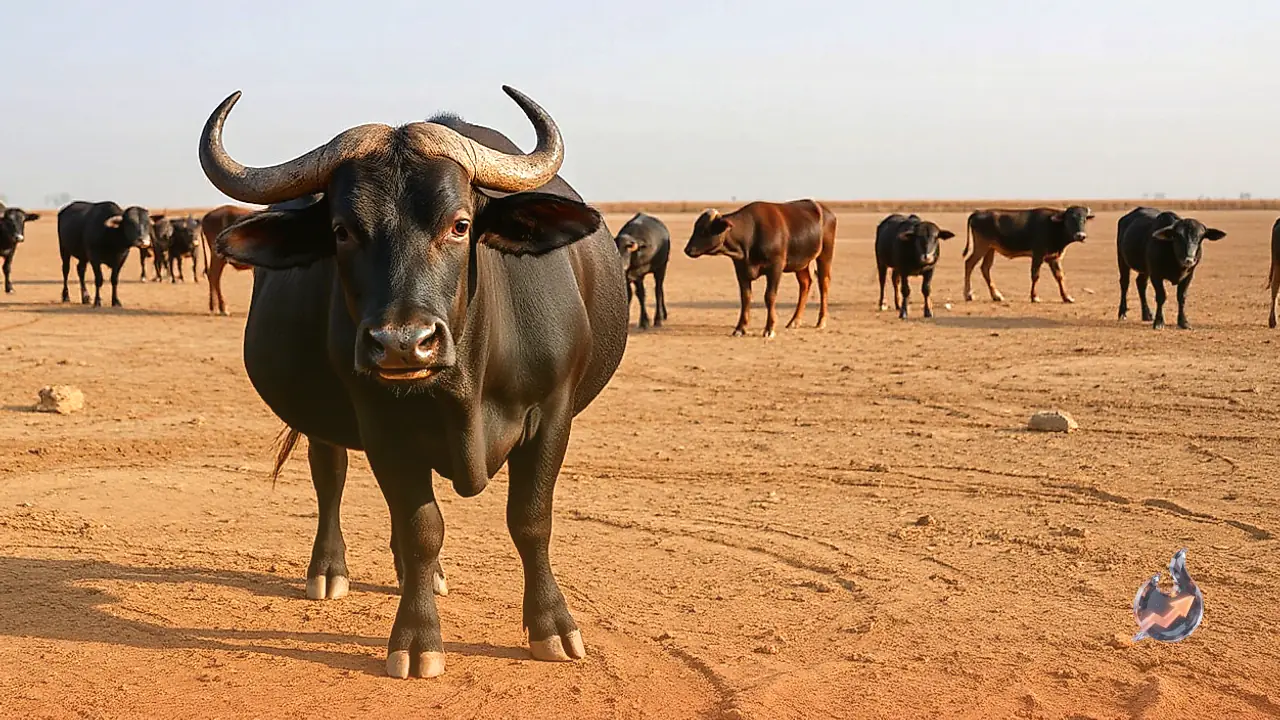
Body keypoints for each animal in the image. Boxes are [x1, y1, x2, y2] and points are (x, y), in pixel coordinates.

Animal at [198, 86, 627, 678]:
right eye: (341, 230)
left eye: (460, 224)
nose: (403, 343)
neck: (466, 384)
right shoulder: (381, 422)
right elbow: (422, 525)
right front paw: (417, 637)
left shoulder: (552, 414)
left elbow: (530, 519)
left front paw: (552, 626)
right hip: (323, 419)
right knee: (329, 475)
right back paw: (329, 570)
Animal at [683, 200, 837, 337]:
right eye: (696, 228)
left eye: (704, 231)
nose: (688, 249)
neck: (751, 234)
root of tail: (825, 210)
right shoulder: (741, 270)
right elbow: (745, 297)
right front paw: (741, 328)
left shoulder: (775, 268)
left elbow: (769, 296)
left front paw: (770, 328)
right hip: (801, 263)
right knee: (805, 283)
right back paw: (794, 321)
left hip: (825, 255)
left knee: (823, 283)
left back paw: (821, 321)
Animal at [963, 206, 1094, 303]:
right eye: (1070, 219)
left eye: (1084, 219)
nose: (1081, 236)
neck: (1053, 225)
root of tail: (978, 212)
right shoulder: (1038, 255)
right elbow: (1035, 275)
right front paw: (1034, 297)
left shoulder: (1053, 258)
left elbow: (1059, 276)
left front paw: (1067, 297)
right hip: (981, 247)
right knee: (969, 264)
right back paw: (968, 294)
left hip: (990, 249)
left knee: (985, 268)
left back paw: (996, 296)